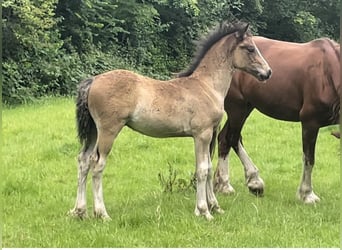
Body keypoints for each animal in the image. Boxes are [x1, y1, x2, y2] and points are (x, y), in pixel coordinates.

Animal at [69, 22, 272, 221]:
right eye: (250, 48)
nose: (268, 72)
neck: (207, 86)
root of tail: (93, 80)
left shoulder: (207, 135)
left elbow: (207, 168)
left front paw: (215, 207)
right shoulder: (202, 134)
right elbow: (202, 170)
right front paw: (204, 211)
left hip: (94, 131)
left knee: (83, 161)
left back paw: (80, 211)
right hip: (108, 131)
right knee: (97, 165)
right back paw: (102, 213)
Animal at [214, 36, 340, 203]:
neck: (328, 72)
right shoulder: (310, 122)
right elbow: (309, 159)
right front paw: (307, 194)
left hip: (246, 107)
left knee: (225, 139)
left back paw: (229, 183)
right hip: (237, 108)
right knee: (230, 138)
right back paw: (243, 184)